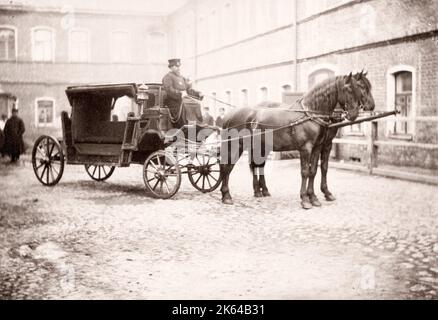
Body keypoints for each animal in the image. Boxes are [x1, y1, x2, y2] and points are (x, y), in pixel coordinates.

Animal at [221, 72, 368, 209]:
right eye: (348, 88)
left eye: (359, 88)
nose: (354, 113)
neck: (311, 113)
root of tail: (229, 116)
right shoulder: (305, 149)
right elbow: (305, 172)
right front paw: (305, 199)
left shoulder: (317, 147)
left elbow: (313, 171)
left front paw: (313, 198)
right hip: (236, 145)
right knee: (227, 166)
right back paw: (226, 195)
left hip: (260, 147)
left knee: (253, 166)